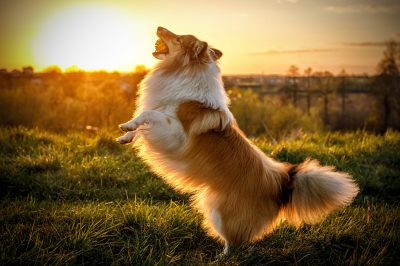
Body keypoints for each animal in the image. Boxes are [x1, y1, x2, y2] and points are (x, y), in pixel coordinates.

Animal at [115, 27, 360, 256]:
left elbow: (149, 114)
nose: (158, 27)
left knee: (235, 242)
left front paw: (127, 126)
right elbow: (145, 121)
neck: (185, 73)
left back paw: (222, 258)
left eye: (178, 38)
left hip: (219, 210)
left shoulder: (175, 133)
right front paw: (126, 135)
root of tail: (282, 184)